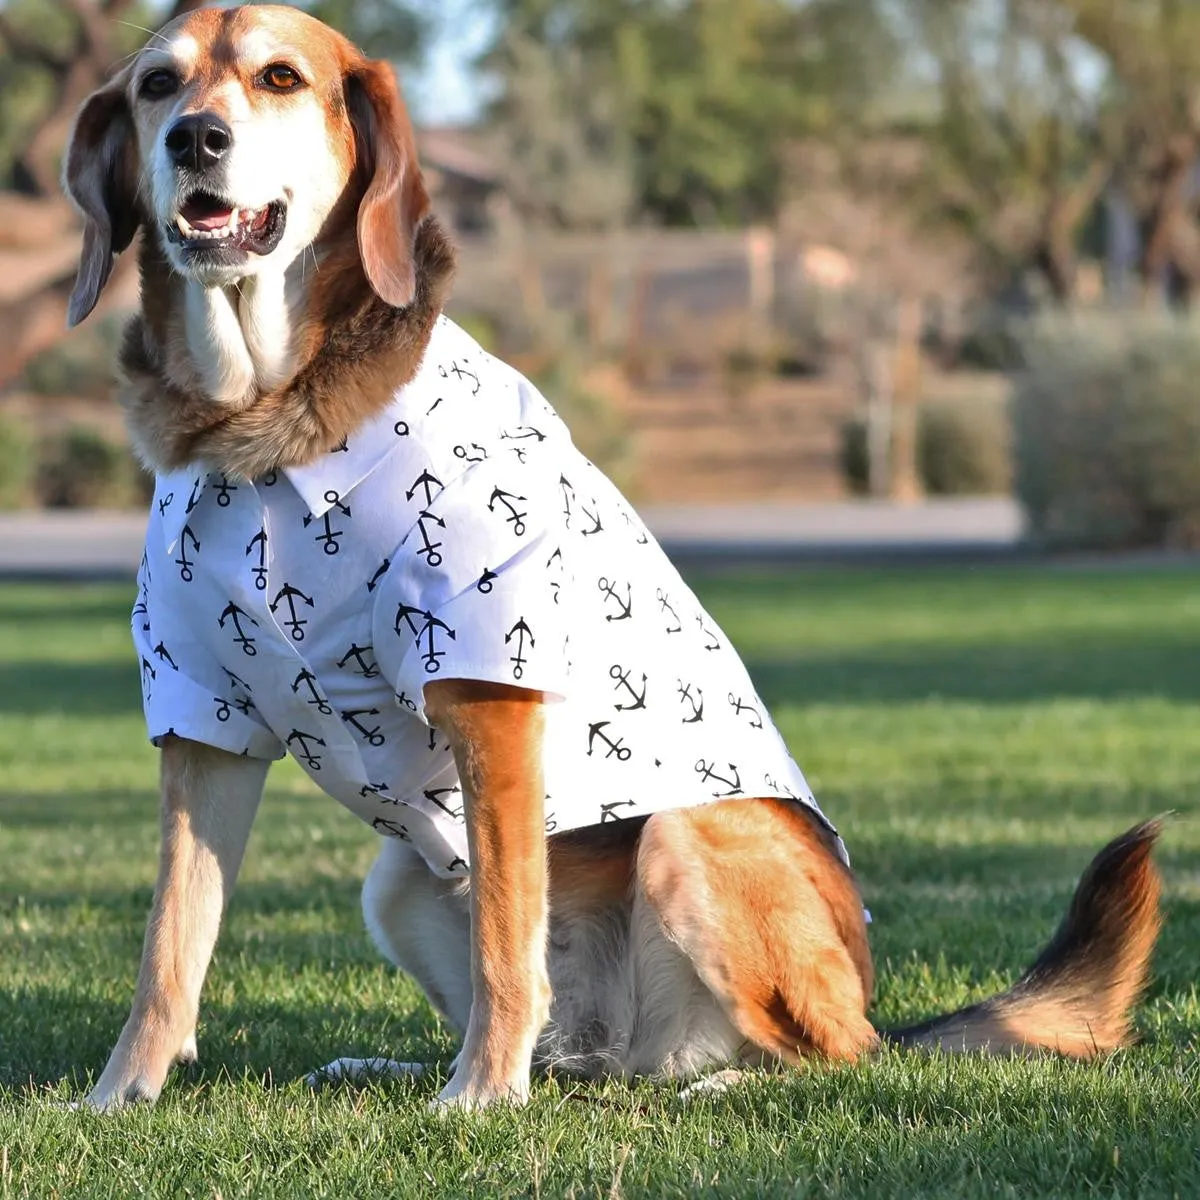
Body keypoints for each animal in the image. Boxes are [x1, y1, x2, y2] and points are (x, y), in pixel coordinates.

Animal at [63, 4, 1161, 1108]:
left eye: (280, 77)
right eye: (158, 84)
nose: (194, 139)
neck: (262, 434)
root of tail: (632, 1049)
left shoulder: (489, 696)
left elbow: (506, 932)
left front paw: (479, 1100)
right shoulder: (203, 724)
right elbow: (169, 945)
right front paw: (120, 1095)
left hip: (690, 840)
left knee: (833, 1052)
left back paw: (700, 1085)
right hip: (399, 878)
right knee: (588, 1052)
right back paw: (403, 1065)